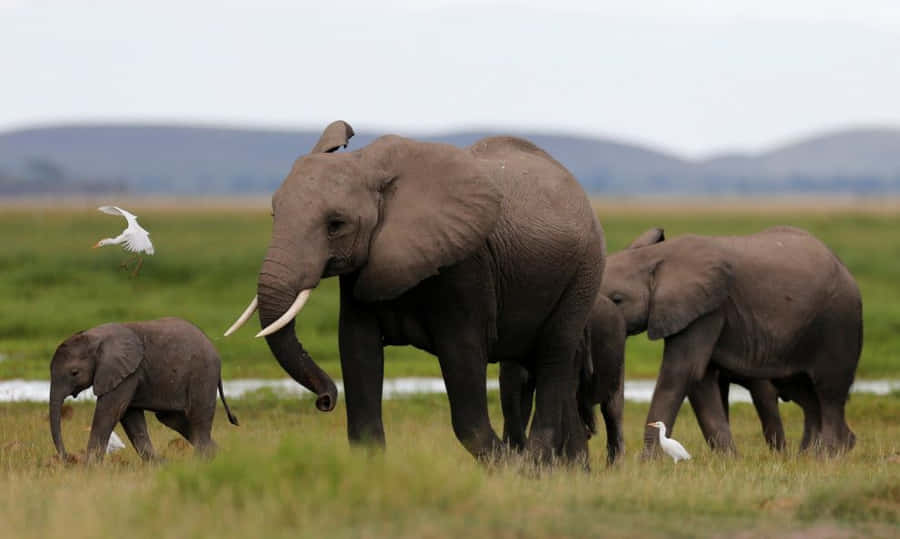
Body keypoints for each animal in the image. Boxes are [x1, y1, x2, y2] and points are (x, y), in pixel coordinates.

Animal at [49, 317, 239, 462]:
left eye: (74, 373)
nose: (68, 458)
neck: (94, 337)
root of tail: (215, 350)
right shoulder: (128, 373)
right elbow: (130, 417)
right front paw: (159, 466)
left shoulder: (127, 372)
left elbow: (109, 412)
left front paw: (89, 469)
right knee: (173, 419)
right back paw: (221, 457)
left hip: (203, 375)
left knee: (198, 419)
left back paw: (203, 462)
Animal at [225, 121, 605, 463]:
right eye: (273, 215)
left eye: (336, 225)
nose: (325, 401)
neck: (368, 165)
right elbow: (357, 348)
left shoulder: (464, 265)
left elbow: (463, 360)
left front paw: (510, 468)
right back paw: (567, 472)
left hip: (583, 272)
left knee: (555, 354)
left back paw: (536, 465)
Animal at [600, 226, 862, 457]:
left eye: (618, 299)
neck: (655, 256)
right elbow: (700, 380)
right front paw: (729, 460)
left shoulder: (709, 309)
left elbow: (681, 372)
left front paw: (647, 463)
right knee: (807, 395)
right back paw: (812, 456)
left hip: (838, 323)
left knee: (829, 392)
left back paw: (827, 456)